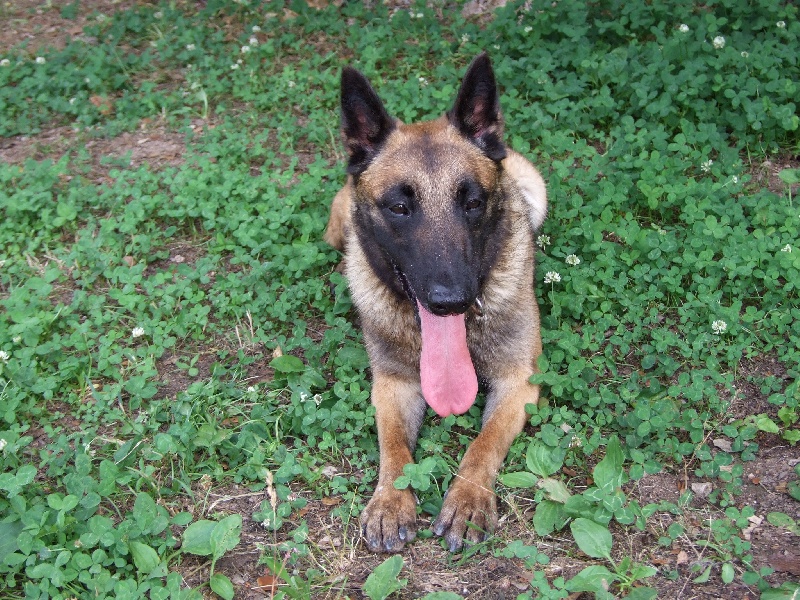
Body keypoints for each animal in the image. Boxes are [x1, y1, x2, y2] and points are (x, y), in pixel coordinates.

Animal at [324, 53, 547, 553]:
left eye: (473, 202)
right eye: (399, 208)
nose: (451, 302)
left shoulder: (519, 382)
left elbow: (483, 444)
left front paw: (467, 498)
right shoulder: (392, 384)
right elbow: (393, 447)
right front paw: (390, 501)